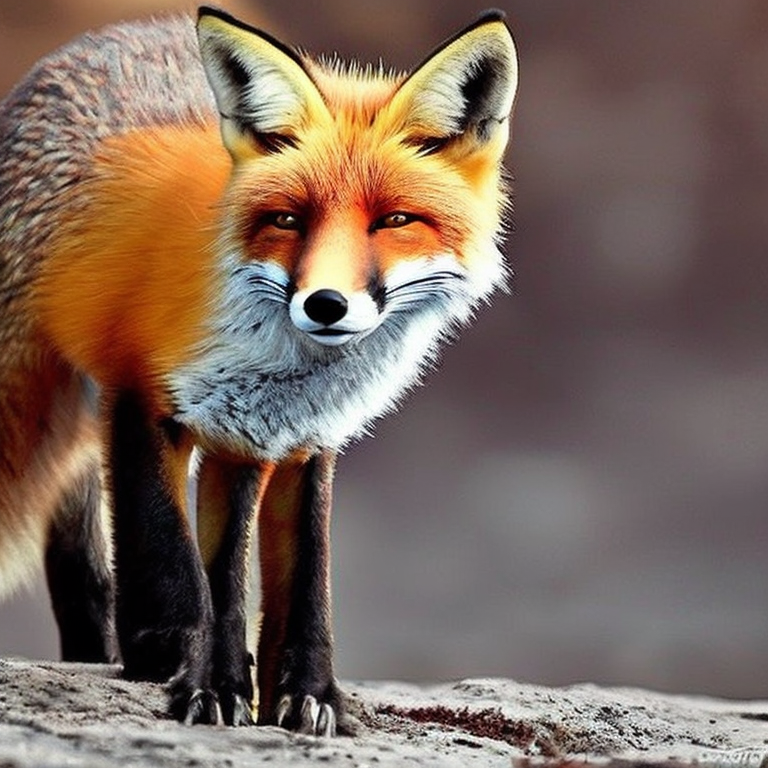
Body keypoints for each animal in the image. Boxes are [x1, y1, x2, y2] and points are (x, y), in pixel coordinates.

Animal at [0, 6, 517, 734]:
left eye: (394, 220)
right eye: (287, 220)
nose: (326, 305)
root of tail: (125, 29)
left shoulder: (292, 438)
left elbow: (298, 582)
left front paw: (303, 695)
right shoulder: (139, 399)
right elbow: (176, 574)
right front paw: (186, 677)